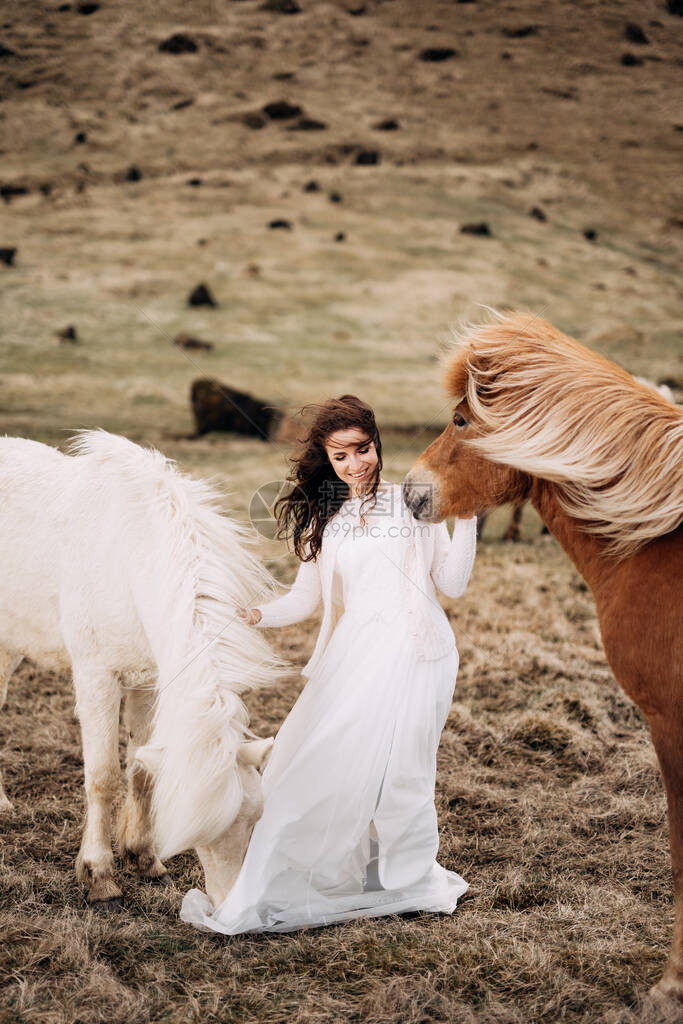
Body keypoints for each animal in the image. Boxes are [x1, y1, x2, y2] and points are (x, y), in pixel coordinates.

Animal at [0, 428, 282, 909]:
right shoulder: (96, 678)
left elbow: (142, 771)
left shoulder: (149, 682)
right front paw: (100, 877)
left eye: (256, 817)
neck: (128, 557)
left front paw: (144, 859)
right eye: (202, 830)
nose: (232, 909)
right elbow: (103, 777)